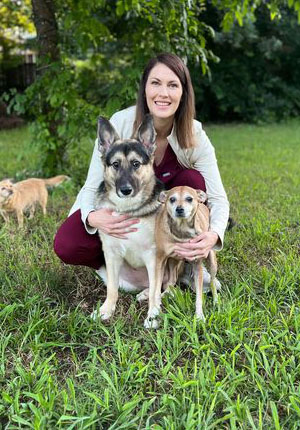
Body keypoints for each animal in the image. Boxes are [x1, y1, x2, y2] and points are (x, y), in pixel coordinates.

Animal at [92, 116, 164, 328]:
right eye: (115, 164)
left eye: (135, 163)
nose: (125, 190)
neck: (129, 209)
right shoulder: (111, 255)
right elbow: (112, 290)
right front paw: (106, 310)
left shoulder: (153, 256)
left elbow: (156, 292)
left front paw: (153, 315)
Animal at [155, 186, 218, 320]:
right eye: (172, 199)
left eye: (189, 199)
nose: (179, 209)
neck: (182, 229)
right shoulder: (161, 258)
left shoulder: (198, 264)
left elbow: (199, 296)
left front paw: (199, 316)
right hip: (173, 260)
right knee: (171, 282)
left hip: (212, 262)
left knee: (212, 281)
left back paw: (216, 300)